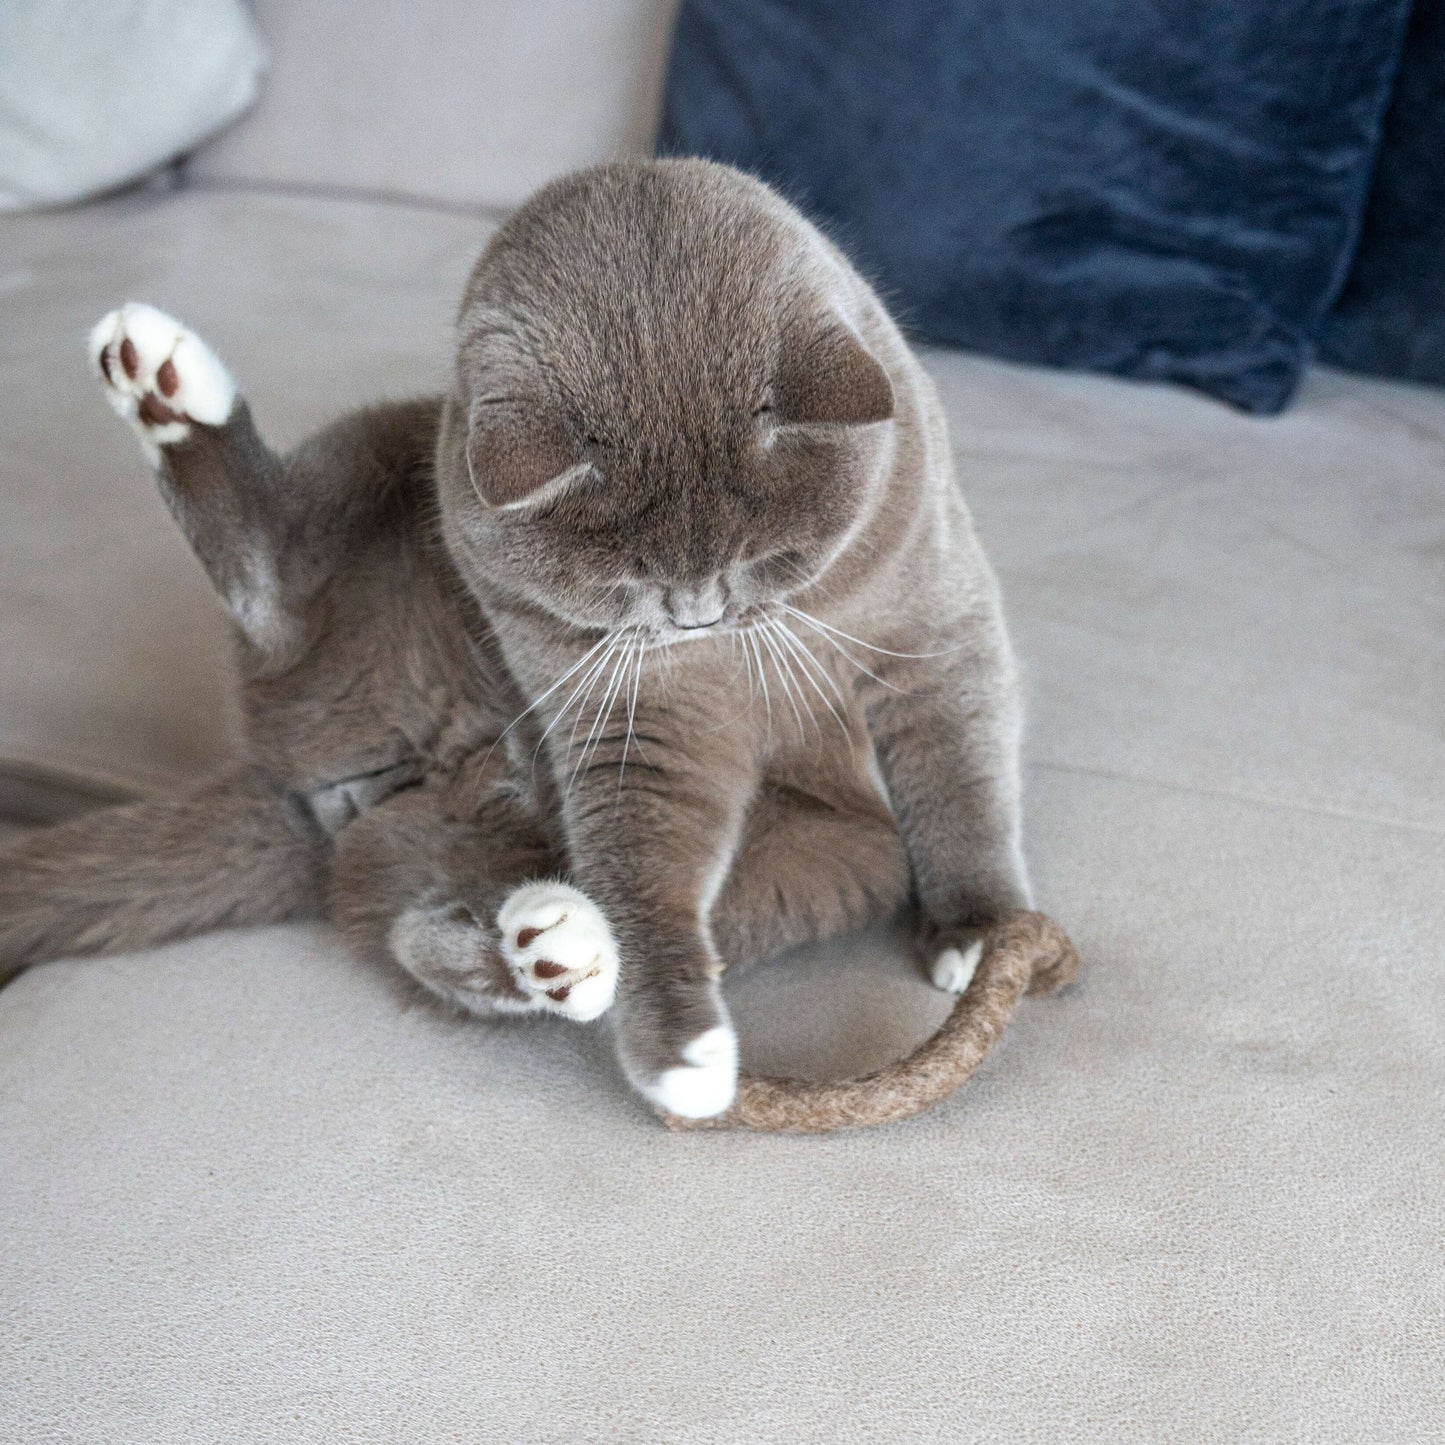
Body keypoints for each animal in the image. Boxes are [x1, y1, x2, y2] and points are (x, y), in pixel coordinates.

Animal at [0, 164, 1028, 1121]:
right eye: (626, 583)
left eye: (766, 556)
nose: (695, 613)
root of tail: (329, 791)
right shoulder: (631, 701)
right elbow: (644, 829)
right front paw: (680, 1056)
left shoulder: (932, 612)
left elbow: (955, 767)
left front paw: (981, 935)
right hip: (396, 447)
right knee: (275, 583)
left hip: (819, 866)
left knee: (428, 922)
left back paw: (553, 949)